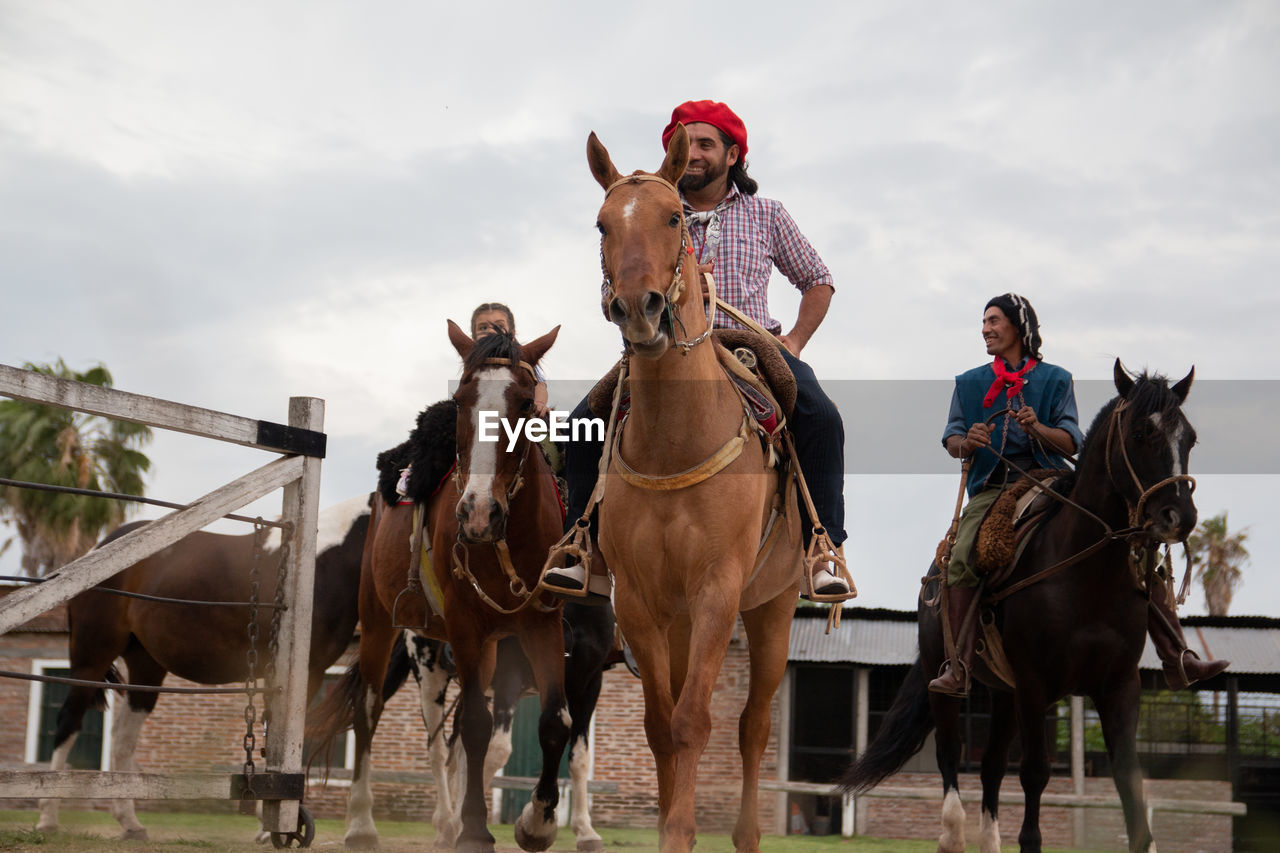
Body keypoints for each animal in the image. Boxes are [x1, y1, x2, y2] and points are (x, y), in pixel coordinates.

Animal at [35, 491, 373, 835]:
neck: (319, 564)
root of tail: (96, 551)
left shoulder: (311, 674)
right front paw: (273, 825)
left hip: (146, 667)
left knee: (122, 739)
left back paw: (130, 822)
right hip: (91, 657)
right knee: (68, 723)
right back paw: (48, 818)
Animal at [307, 320, 568, 850]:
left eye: (524, 402)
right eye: (463, 399)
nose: (479, 513)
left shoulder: (542, 626)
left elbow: (552, 720)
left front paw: (538, 822)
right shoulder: (466, 627)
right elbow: (474, 726)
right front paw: (475, 829)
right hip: (385, 630)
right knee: (370, 713)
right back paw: (362, 823)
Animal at [586, 128, 803, 850]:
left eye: (674, 218)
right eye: (602, 224)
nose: (638, 309)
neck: (675, 441)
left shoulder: (718, 590)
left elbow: (693, 722)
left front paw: (680, 830)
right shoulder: (638, 601)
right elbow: (660, 725)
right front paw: (664, 825)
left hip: (772, 610)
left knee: (752, 726)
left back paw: (746, 834)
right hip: (677, 623)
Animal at [844, 361, 1203, 850]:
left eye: (1189, 438)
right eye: (1140, 434)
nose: (1179, 517)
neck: (1088, 576)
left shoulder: (1119, 687)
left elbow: (1131, 786)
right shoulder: (1035, 685)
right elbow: (1034, 774)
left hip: (1004, 694)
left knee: (992, 767)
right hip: (948, 677)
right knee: (949, 757)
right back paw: (951, 835)